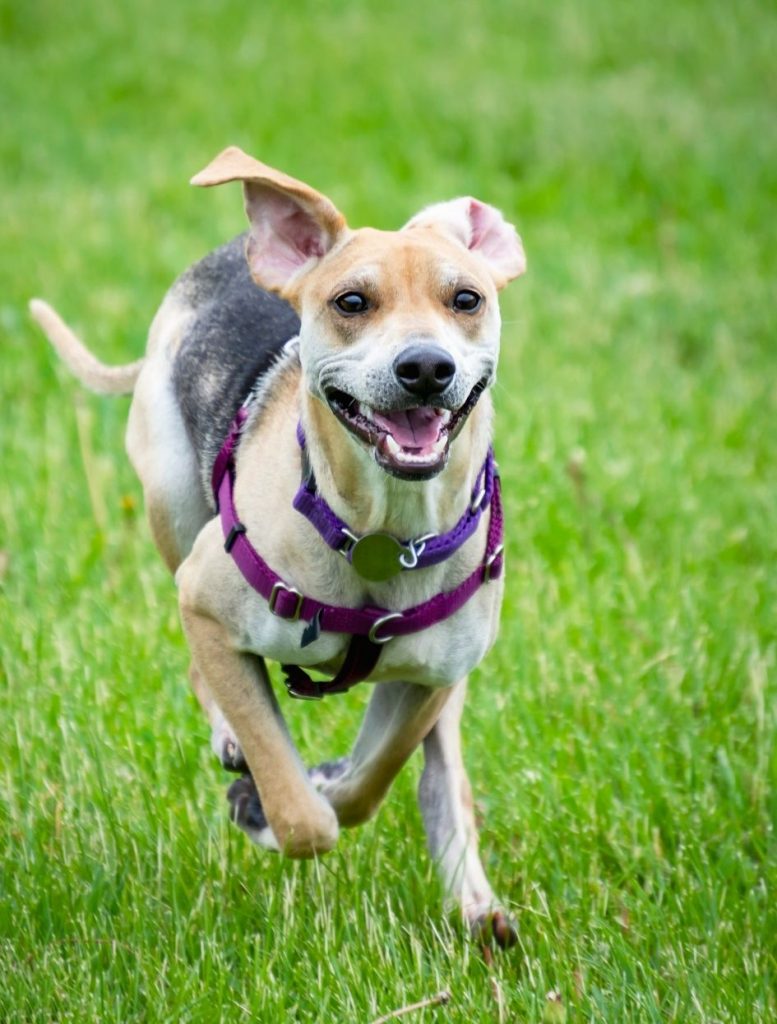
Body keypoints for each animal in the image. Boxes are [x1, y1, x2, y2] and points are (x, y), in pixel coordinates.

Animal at [30, 148, 528, 946]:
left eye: (466, 298)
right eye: (351, 302)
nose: (426, 367)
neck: (382, 531)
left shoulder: (427, 679)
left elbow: (370, 780)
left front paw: (330, 779)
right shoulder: (205, 603)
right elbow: (304, 819)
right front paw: (267, 803)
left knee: (439, 768)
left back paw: (475, 902)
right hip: (173, 504)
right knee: (207, 675)